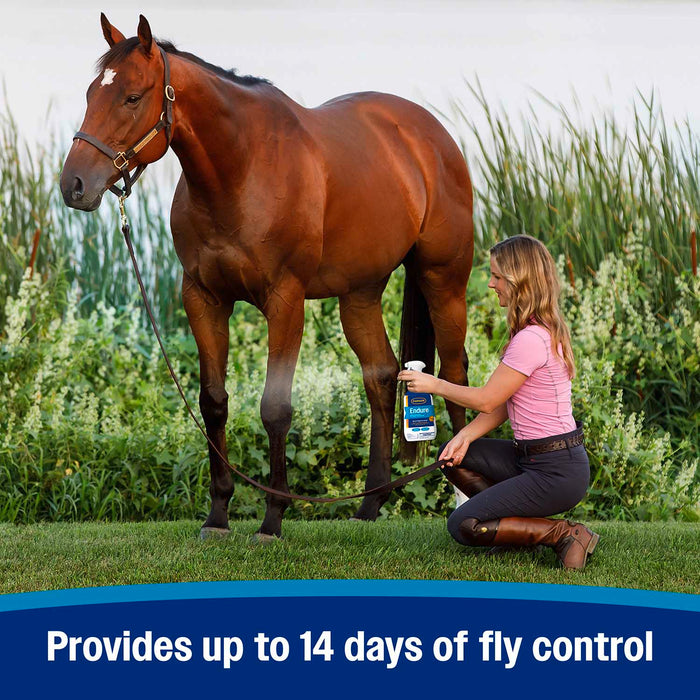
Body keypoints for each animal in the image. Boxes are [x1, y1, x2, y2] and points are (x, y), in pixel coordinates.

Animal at [60, 14, 474, 539]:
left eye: (132, 97)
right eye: (92, 92)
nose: (73, 185)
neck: (242, 169)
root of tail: (430, 135)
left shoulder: (285, 301)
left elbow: (275, 409)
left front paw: (272, 520)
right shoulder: (203, 298)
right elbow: (213, 402)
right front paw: (218, 515)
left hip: (443, 279)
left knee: (455, 373)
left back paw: (464, 496)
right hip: (360, 293)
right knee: (380, 374)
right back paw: (369, 505)